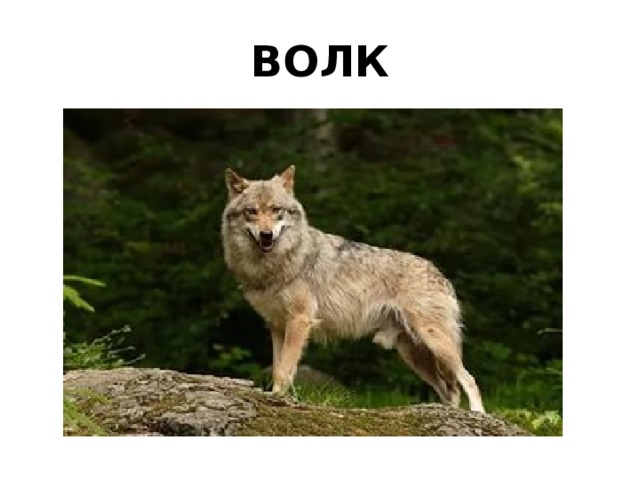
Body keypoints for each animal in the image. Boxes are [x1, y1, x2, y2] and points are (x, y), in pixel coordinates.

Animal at [221, 166, 485, 412]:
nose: (266, 235)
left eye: (277, 210)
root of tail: (440, 274)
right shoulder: (277, 326)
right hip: (414, 355)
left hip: (434, 342)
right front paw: (277, 399)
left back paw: (477, 414)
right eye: (251, 212)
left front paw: (277, 400)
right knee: (450, 390)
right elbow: (278, 367)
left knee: (468, 379)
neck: (275, 264)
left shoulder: (299, 320)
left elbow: (284, 370)